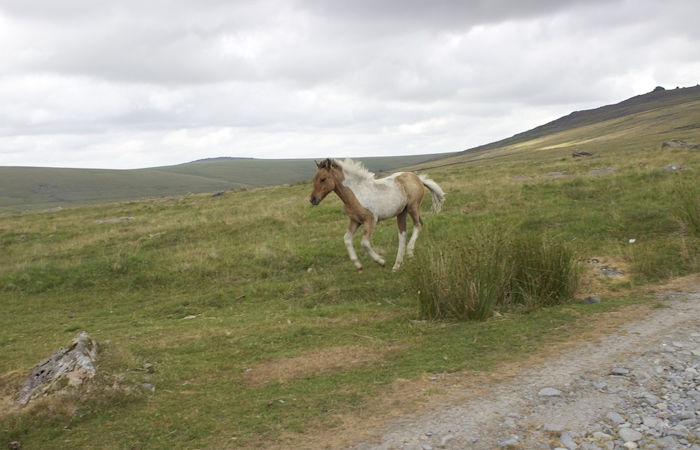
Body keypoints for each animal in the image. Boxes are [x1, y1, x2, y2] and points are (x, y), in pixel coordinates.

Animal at [310, 158, 446, 270]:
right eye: (314, 179)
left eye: (323, 179)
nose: (313, 200)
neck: (357, 193)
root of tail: (418, 178)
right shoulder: (355, 221)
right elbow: (347, 239)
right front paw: (358, 265)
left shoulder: (370, 220)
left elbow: (364, 243)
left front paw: (381, 261)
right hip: (401, 212)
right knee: (402, 234)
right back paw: (397, 265)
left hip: (413, 207)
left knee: (418, 225)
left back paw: (409, 252)